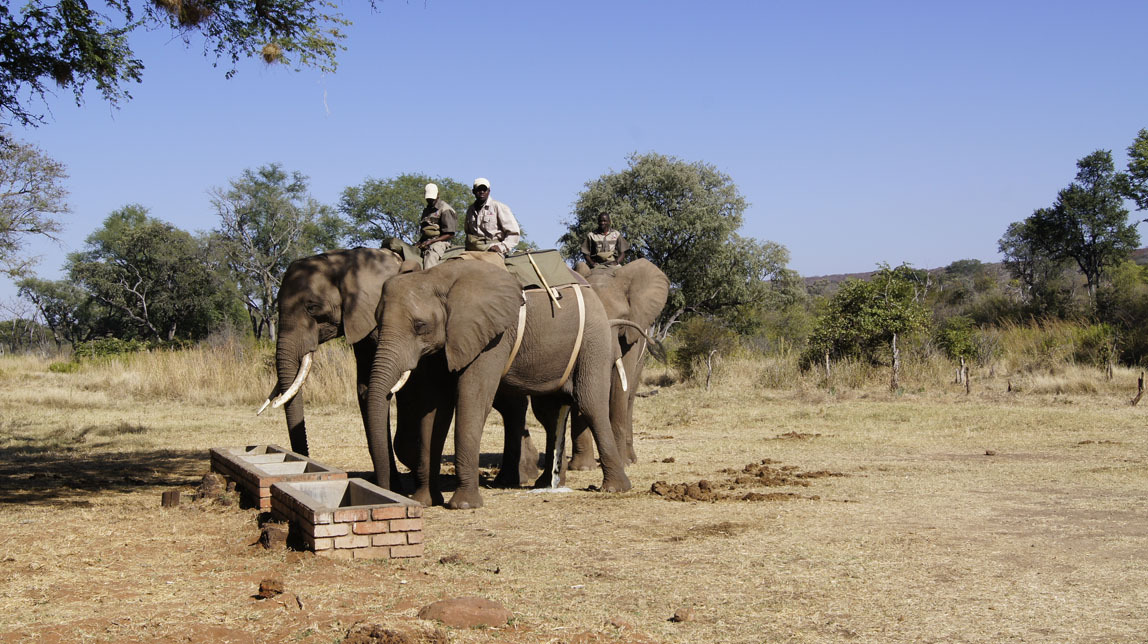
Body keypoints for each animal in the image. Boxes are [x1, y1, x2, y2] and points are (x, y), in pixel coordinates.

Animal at [367, 255, 633, 507]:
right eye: (376, 321)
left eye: (420, 325)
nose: (387, 490)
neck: (436, 277)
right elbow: (434, 410)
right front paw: (424, 502)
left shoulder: (492, 337)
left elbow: (472, 399)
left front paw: (464, 505)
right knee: (549, 413)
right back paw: (547, 484)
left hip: (594, 339)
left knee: (590, 404)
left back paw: (615, 488)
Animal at [567, 258, 670, 470]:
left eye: (623, 317)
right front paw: (583, 468)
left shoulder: (631, 336)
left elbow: (619, 387)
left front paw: (622, 465)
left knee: (629, 396)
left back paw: (630, 459)